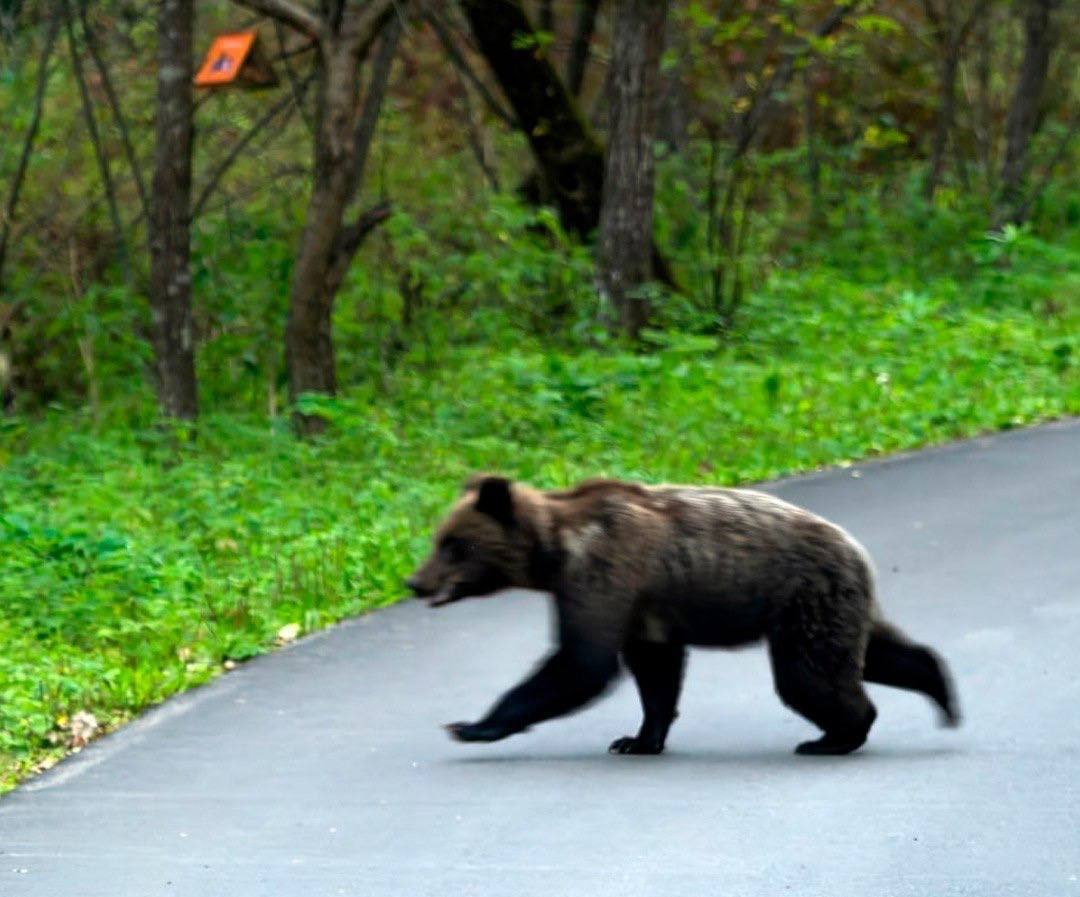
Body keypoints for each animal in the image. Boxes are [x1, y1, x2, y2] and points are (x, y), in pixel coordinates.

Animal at [406, 475, 960, 756]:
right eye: (439, 538)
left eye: (455, 544)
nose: (415, 582)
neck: (555, 554)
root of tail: (856, 547)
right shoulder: (643, 610)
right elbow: (655, 674)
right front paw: (637, 739)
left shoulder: (605, 576)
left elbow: (581, 663)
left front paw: (472, 725)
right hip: (837, 603)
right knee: (874, 652)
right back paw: (940, 690)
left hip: (803, 598)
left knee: (808, 675)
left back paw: (833, 737)